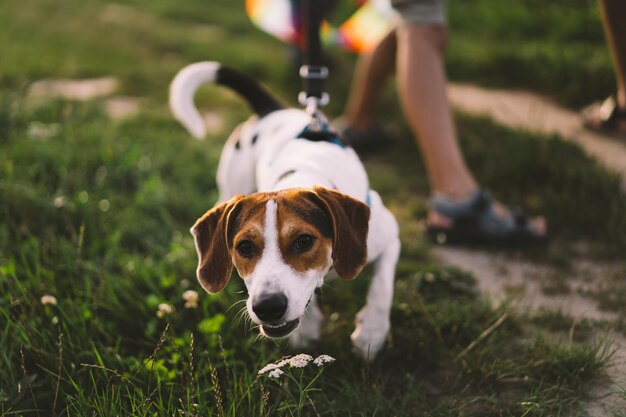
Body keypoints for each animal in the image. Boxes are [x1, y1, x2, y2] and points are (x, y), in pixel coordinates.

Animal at [168, 61, 398, 358]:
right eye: (244, 247)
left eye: (304, 241)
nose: (267, 306)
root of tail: (272, 109)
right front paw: (308, 329)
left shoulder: (389, 235)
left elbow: (382, 286)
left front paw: (372, 331)